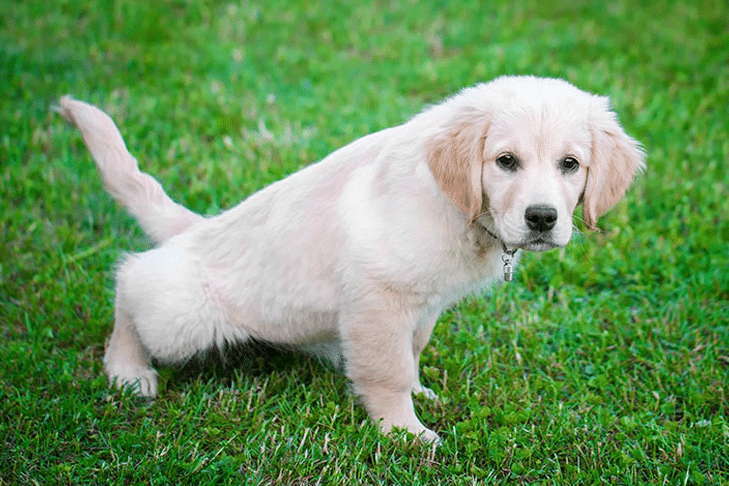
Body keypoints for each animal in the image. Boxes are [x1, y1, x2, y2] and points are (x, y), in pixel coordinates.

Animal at [59, 77, 644, 444]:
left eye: (570, 164)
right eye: (505, 161)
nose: (543, 218)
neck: (457, 207)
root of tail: (194, 230)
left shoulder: (422, 304)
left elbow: (411, 352)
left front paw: (419, 393)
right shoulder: (377, 296)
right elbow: (386, 369)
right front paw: (405, 433)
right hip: (186, 315)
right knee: (131, 282)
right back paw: (127, 370)